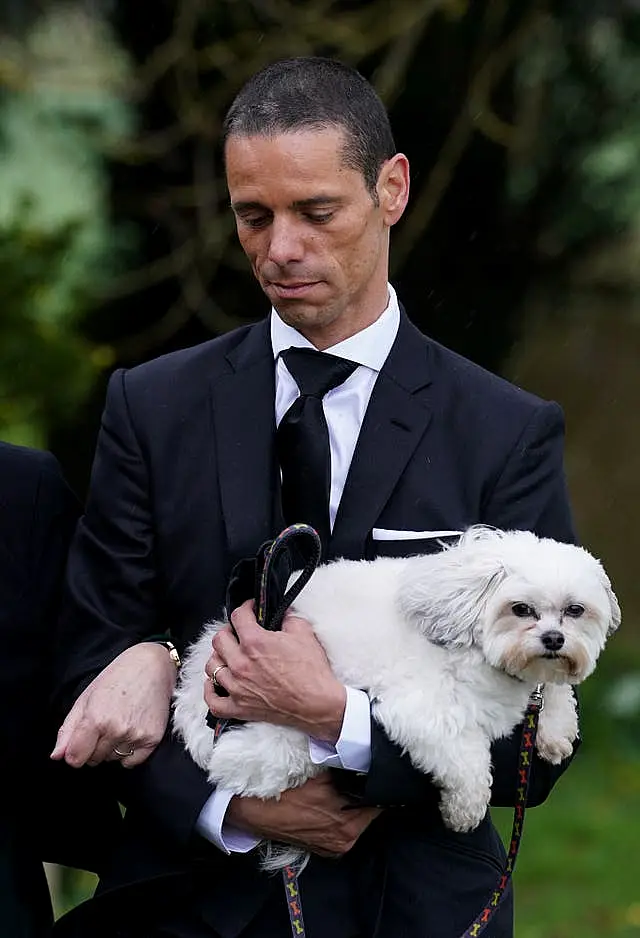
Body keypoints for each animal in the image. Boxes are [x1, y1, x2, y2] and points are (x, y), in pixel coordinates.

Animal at [171, 524, 620, 868]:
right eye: (521, 609)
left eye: (575, 610)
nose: (554, 639)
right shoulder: (422, 709)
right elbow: (465, 756)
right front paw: (466, 807)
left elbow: (555, 689)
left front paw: (555, 728)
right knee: (255, 762)